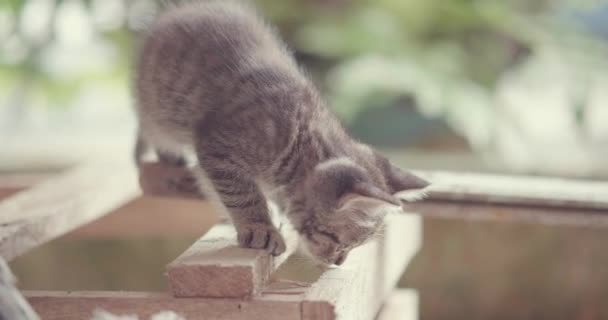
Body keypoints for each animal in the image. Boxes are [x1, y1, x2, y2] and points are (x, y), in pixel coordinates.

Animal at [133, 0, 428, 264]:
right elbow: (241, 194)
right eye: (338, 239)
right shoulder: (218, 146)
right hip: (159, 114)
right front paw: (260, 228)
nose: (339, 262)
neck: (299, 137)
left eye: (357, 246)